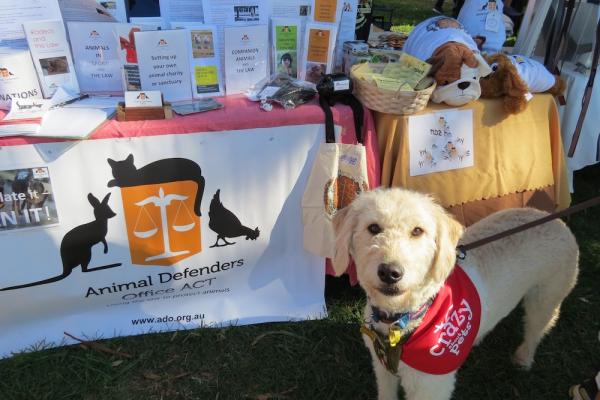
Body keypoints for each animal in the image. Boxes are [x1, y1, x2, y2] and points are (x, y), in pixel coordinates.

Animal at [330, 188, 580, 400]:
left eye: (417, 231)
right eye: (373, 228)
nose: (390, 272)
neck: (402, 320)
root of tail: (556, 221)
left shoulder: (431, 386)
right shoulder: (382, 370)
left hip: (546, 298)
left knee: (536, 329)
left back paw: (523, 358)